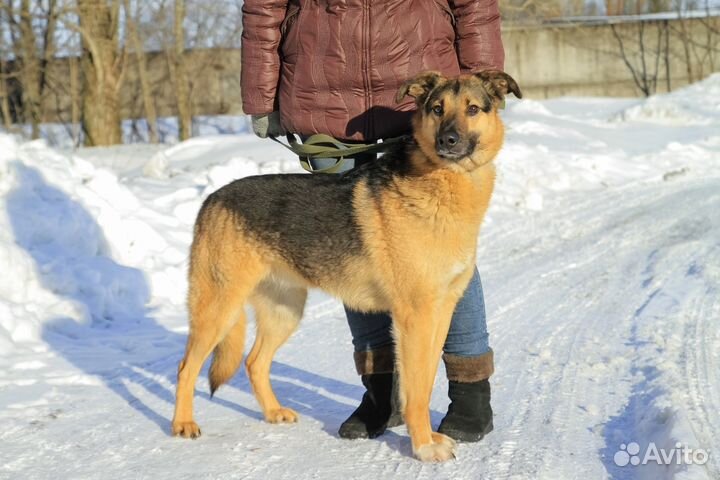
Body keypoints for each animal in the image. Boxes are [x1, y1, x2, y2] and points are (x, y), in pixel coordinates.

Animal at [173, 70, 524, 462]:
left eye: (473, 108)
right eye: (437, 108)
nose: (447, 140)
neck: (444, 182)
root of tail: (212, 199)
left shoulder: (440, 312)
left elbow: (428, 378)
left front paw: (429, 436)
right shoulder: (414, 318)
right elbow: (416, 389)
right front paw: (422, 445)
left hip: (284, 311)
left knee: (254, 362)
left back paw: (273, 412)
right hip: (219, 309)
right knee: (186, 367)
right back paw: (183, 424)